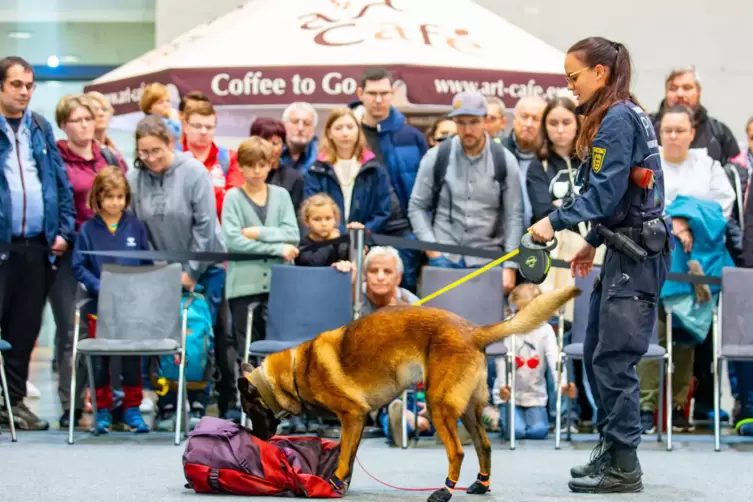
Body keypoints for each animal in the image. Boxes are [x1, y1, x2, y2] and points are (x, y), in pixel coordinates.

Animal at [238, 284, 580, 500]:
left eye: (250, 410)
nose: (258, 438)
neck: (298, 369)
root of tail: (473, 331)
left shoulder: (352, 416)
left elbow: (344, 456)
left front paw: (333, 482)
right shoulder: (356, 422)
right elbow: (351, 454)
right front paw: (341, 485)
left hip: (439, 405)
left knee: (457, 451)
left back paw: (444, 491)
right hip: (468, 411)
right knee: (483, 446)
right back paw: (480, 485)